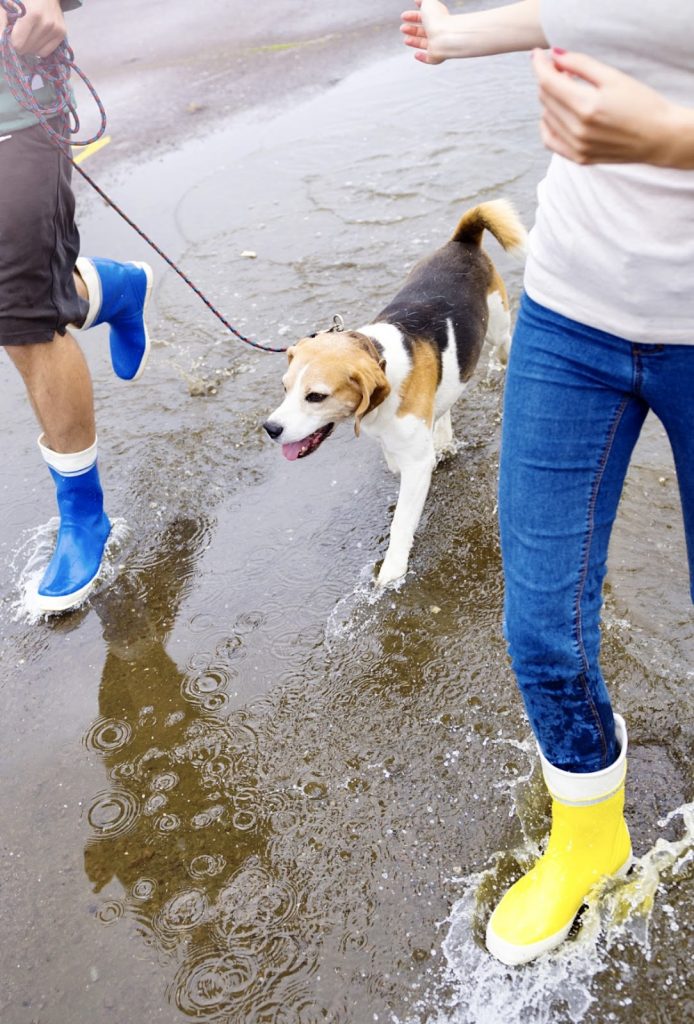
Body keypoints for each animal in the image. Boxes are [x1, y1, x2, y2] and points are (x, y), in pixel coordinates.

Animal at [264, 199, 528, 585]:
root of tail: (463, 240)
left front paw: (391, 572)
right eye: (284, 388)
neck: (381, 359)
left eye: (316, 396)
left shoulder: (417, 466)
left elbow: (402, 522)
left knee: (504, 347)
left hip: (498, 330)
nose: (270, 429)